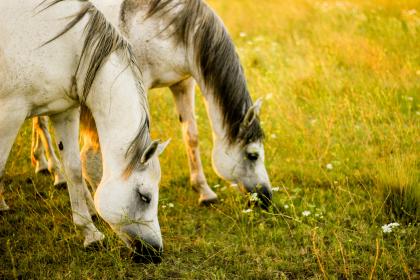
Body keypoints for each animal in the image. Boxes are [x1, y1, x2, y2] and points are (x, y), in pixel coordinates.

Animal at [1, 0, 169, 262]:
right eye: (145, 197)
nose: (155, 253)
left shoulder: (64, 112)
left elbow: (74, 170)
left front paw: (90, 234)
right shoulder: (10, 113)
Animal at [30, 0, 272, 208]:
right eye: (253, 155)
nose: (267, 198)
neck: (170, 27)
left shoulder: (183, 84)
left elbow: (191, 136)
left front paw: (204, 192)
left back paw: (41, 162)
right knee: (42, 124)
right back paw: (57, 174)